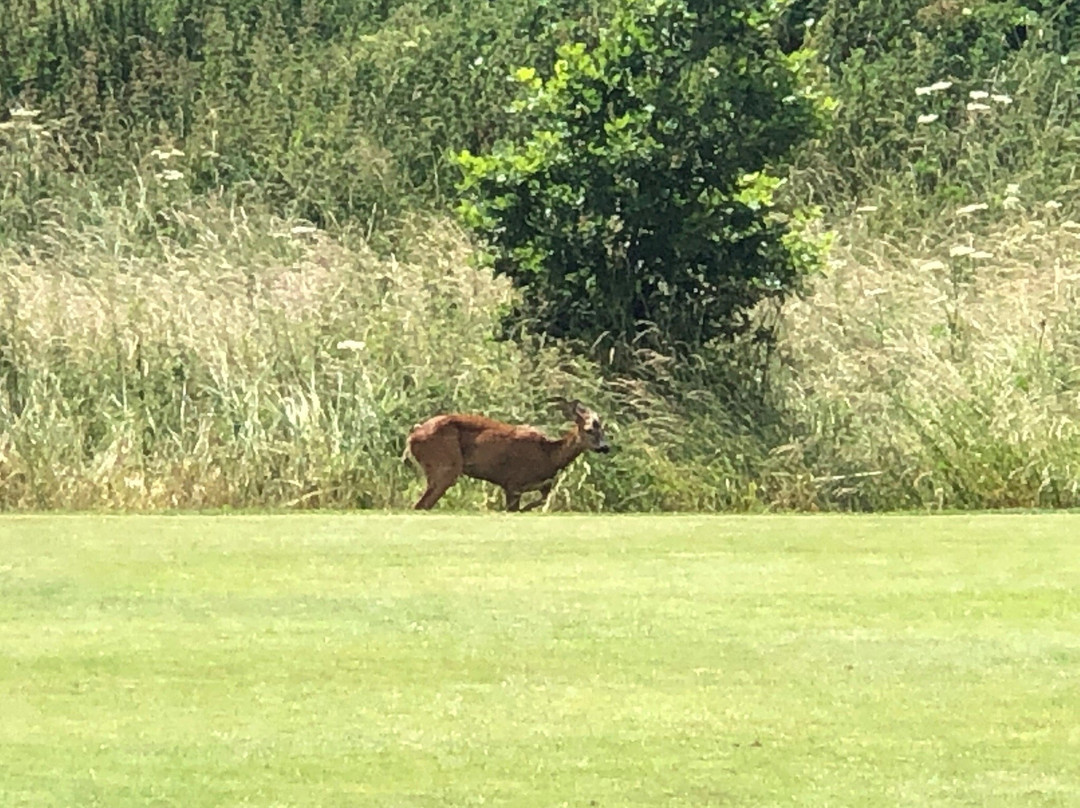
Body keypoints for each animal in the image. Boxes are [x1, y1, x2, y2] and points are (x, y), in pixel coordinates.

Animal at [401, 397, 613, 512]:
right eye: (589, 430)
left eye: (603, 429)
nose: (605, 447)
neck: (548, 456)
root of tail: (412, 435)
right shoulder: (513, 482)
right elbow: (515, 507)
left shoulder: (537, 485)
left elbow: (542, 498)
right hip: (445, 464)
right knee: (421, 504)